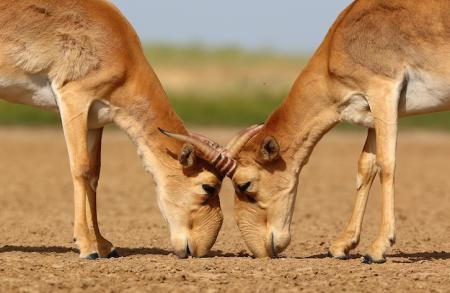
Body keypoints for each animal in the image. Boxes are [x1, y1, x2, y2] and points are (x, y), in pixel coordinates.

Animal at [0, 0, 260, 258]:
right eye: (208, 186)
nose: (199, 250)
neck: (114, 42)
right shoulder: (73, 100)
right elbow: (80, 169)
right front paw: (87, 247)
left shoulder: (96, 119)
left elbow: (94, 174)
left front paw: (104, 245)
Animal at [168, 0, 450, 264]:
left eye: (245, 184)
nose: (261, 250)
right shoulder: (371, 110)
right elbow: (366, 166)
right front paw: (341, 246)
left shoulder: (384, 92)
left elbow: (387, 164)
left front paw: (377, 249)